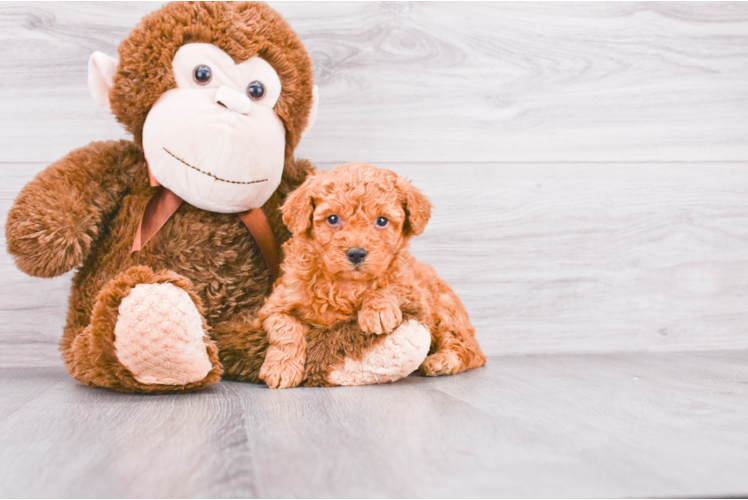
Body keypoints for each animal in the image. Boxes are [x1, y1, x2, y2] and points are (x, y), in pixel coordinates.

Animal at [260, 162, 488, 388]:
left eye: (382, 221)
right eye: (332, 219)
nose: (356, 253)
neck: (346, 284)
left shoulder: (414, 292)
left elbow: (392, 285)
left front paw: (377, 310)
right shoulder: (276, 303)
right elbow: (286, 327)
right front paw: (281, 368)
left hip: (445, 312)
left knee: (469, 349)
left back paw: (442, 361)